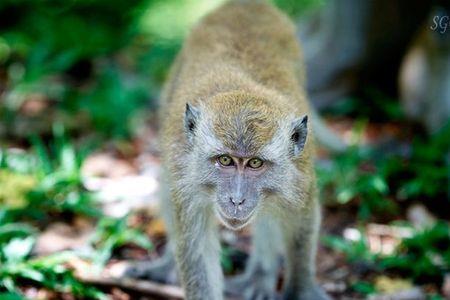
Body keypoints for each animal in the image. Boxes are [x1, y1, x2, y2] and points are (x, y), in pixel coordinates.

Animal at [125, 0, 328, 300]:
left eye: (255, 163)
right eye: (225, 160)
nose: (237, 200)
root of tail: (248, 4)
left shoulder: (299, 176)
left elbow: (300, 223)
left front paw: (301, 289)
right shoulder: (185, 171)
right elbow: (196, 248)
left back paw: (258, 278)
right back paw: (166, 266)